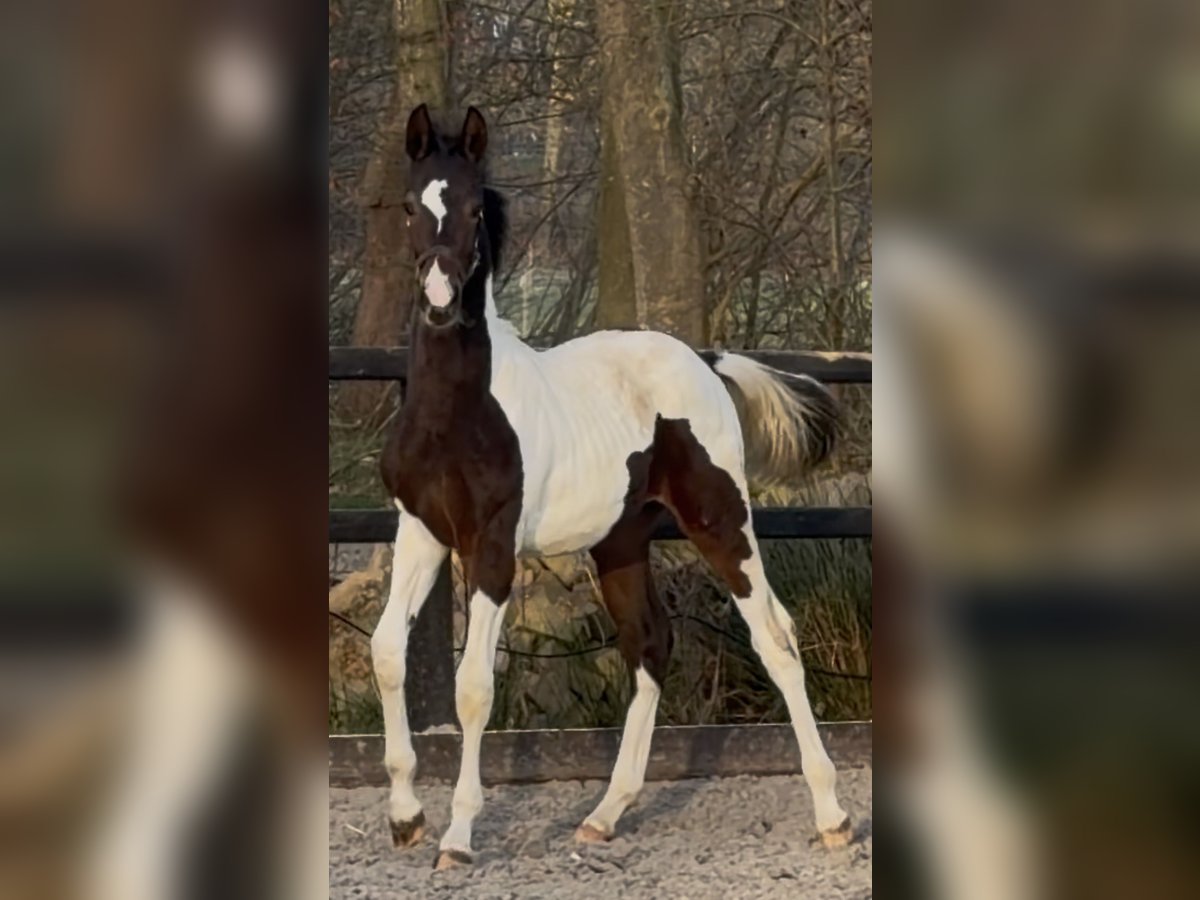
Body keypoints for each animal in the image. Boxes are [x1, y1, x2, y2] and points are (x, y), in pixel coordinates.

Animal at [372, 103, 853, 870]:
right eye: (414, 206)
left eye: (475, 208)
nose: (441, 303)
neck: (457, 413)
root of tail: (705, 360)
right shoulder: (420, 531)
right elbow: (388, 652)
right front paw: (405, 817)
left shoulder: (491, 545)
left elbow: (473, 687)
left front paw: (457, 837)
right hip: (619, 542)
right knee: (650, 645)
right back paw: (603, 815)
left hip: (720, 518)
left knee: (774, 636)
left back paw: (833, 816)